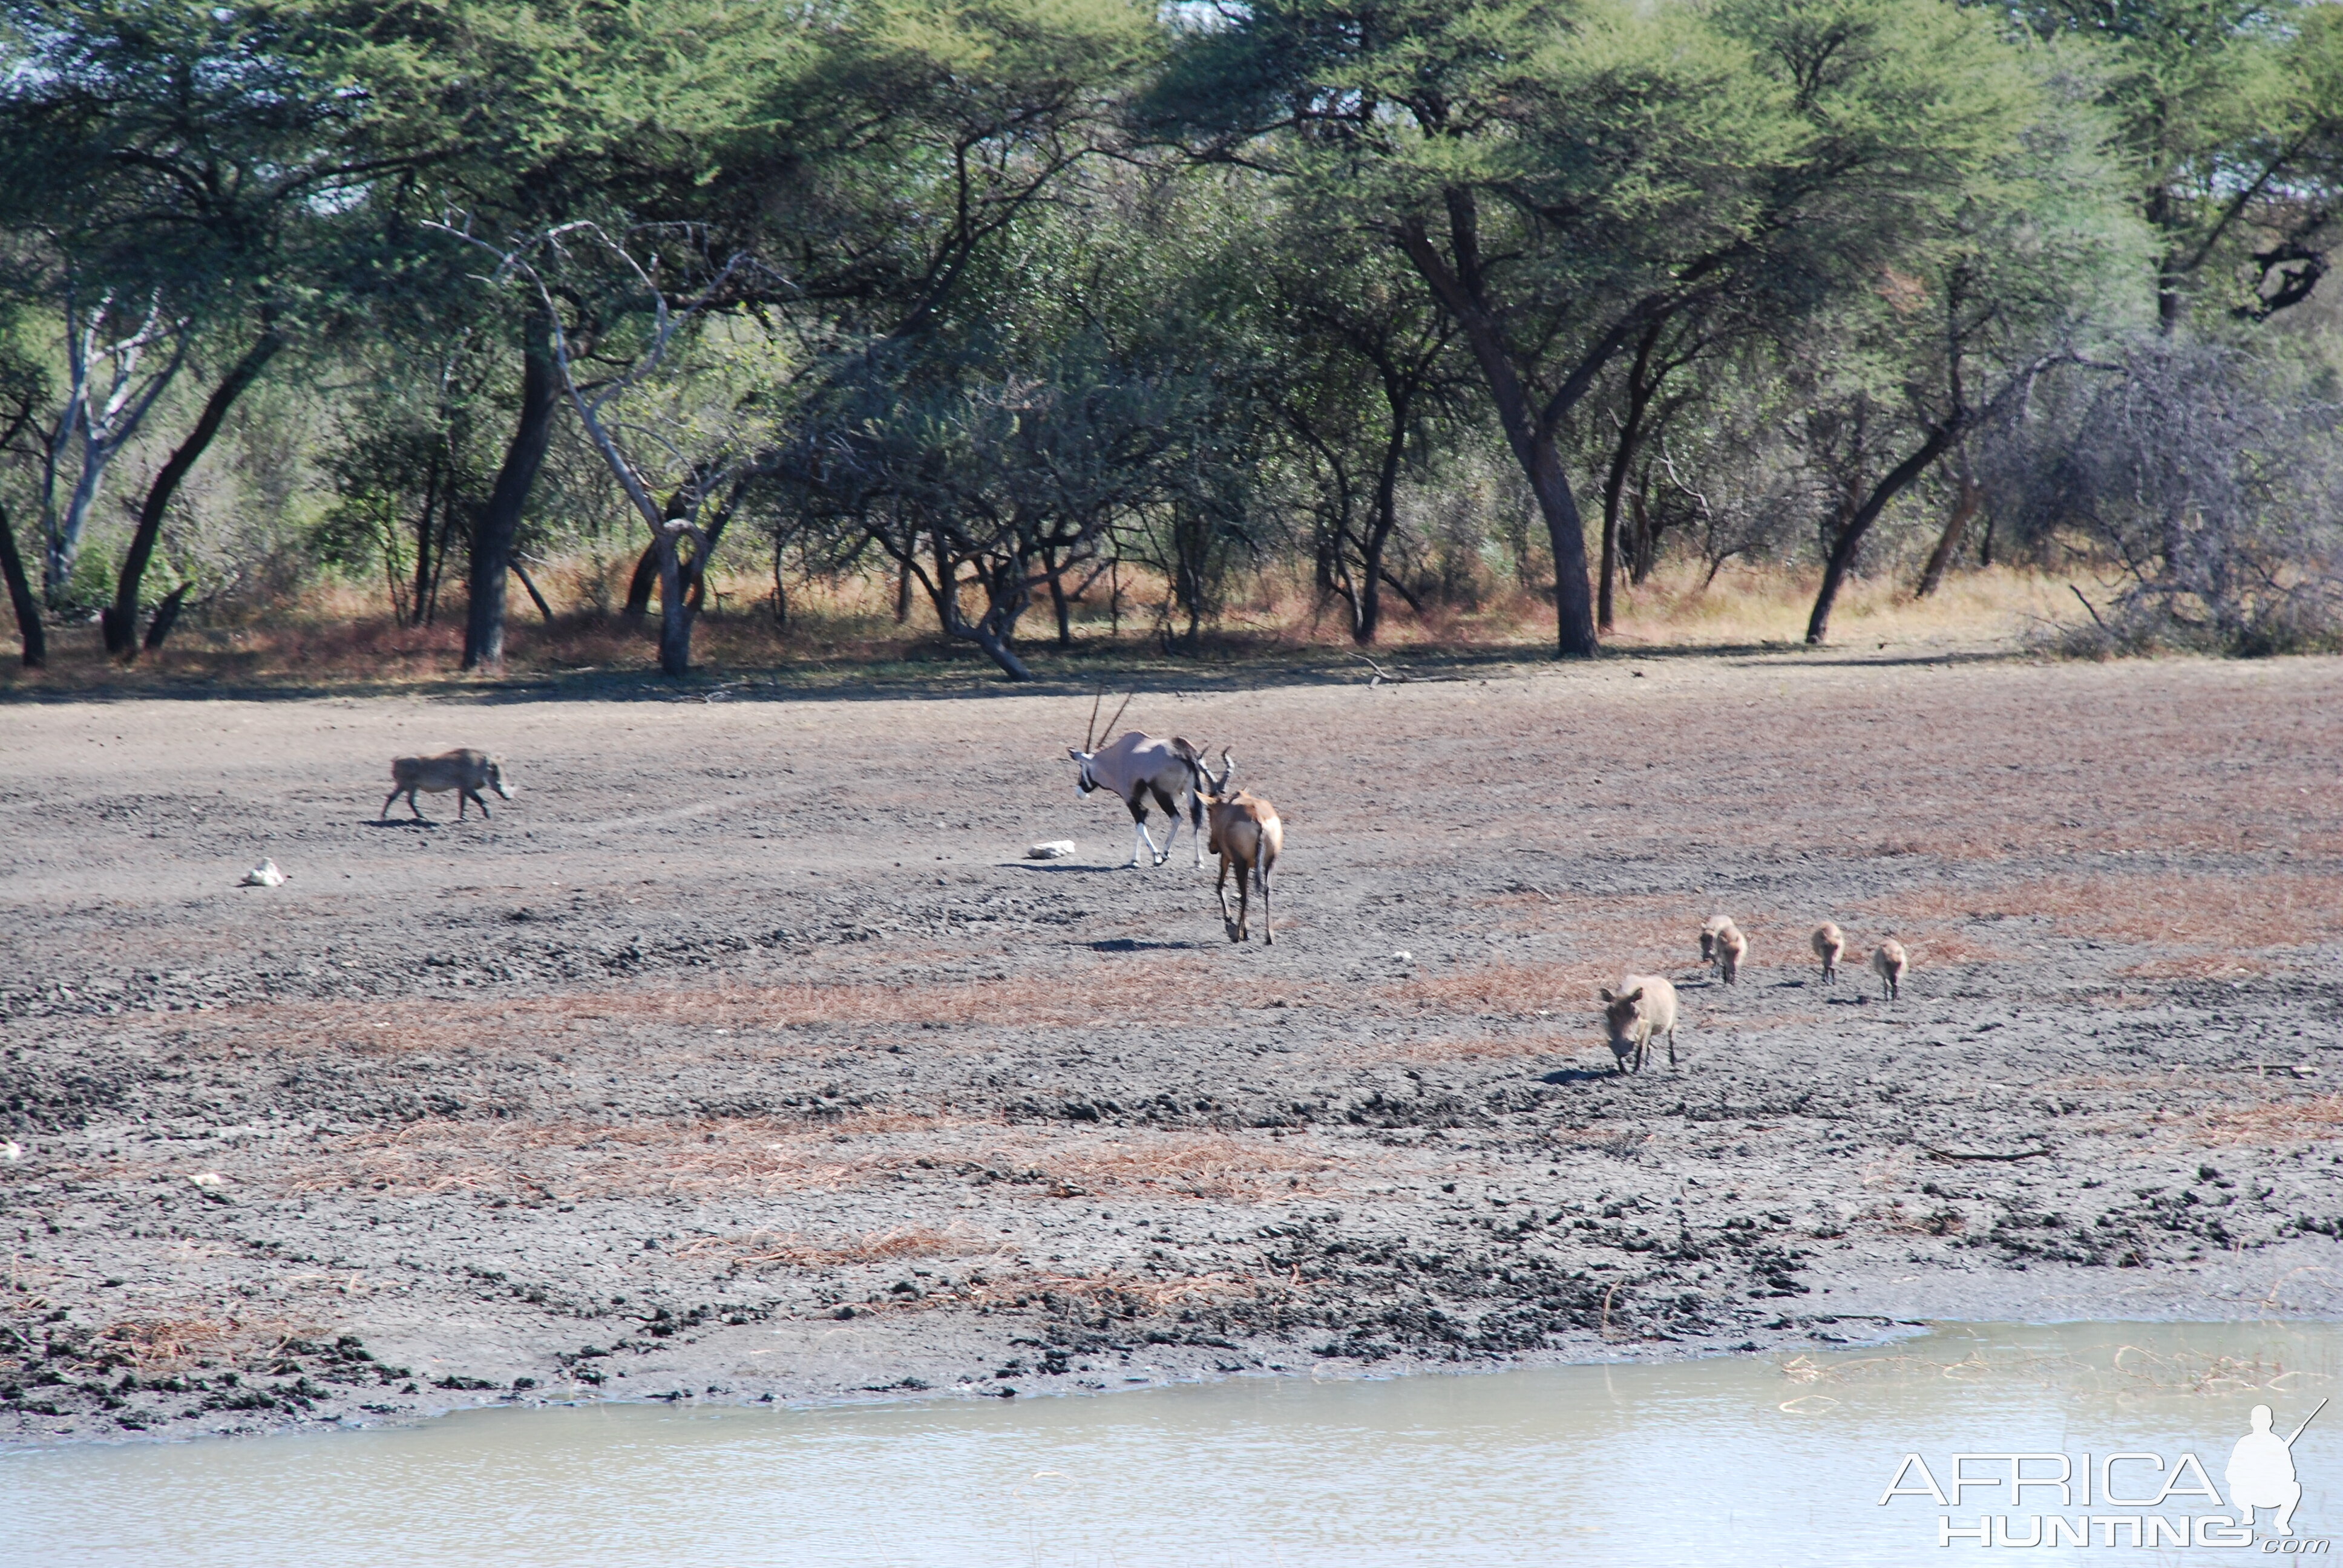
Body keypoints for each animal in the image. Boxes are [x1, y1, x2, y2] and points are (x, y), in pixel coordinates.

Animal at [1068, 693, 1208, 877]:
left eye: (1082, 766)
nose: (1080, 792)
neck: (1118, 757)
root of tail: (1187, 753)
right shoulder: (1143, 804)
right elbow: (1139, 828)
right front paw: (1134, 860)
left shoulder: (1130, 800)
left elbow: (1141, 827)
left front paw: (1155, 856)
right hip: (1193, 794)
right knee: (1196, 821)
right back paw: (1198, 861)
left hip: (1163, 796)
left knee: (1177, 818)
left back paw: (1164, 853)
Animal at [1208, 750, 1283, 942]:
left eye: (1208, 811)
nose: (1212, 848)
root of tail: (1259, 819)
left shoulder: (1228, 858)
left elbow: (1220, 886)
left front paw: (1233, 927)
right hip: (1270, 861)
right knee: (1267, 890)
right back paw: (1269, 936)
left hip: (1239, 862)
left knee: (1244, 895)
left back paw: (1237, 934)